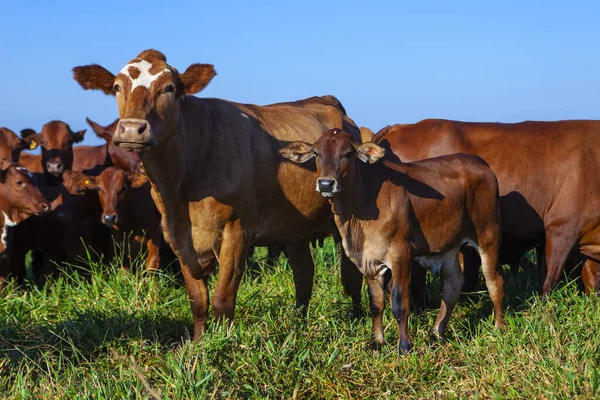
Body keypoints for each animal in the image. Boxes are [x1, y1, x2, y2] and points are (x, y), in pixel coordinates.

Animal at [72, 48, 366, 340]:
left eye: (169, 87)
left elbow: (223, 296)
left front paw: (224, 340)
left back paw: (358, 319)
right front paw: (199, 341)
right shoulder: (175, 234)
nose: (133, 129)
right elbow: (197, 298)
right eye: (117, 86)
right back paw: (298, 322)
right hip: (294, 227)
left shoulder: (237, 230)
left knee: (351, 275)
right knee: (304, 273)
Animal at [278, 129, 504, 354]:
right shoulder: (367, 259)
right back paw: (436, 333)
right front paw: (377, 342)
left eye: (347, 154)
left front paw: (404, 346)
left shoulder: (401, 254)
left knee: (494, 281)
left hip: (488, 235)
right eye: (316, 153)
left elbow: (399, 303)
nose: (326, 183)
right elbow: (376, 303)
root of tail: (479, 163)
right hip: (449, 247)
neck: (359, 209)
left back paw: (498, 328)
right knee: (453, 284)